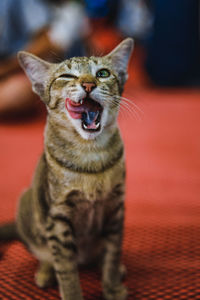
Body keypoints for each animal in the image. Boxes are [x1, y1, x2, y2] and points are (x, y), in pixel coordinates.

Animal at [1, 38, 134, 300]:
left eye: (103, 73)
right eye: (66, 76)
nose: (88, 84)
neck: (90, 154)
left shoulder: (116, 207)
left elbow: (112, 254)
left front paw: (112, 287)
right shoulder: (58, 218)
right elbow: (65, 268)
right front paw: (72, 292)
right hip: (28, 205)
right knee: (45, 254)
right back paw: (45, 272)